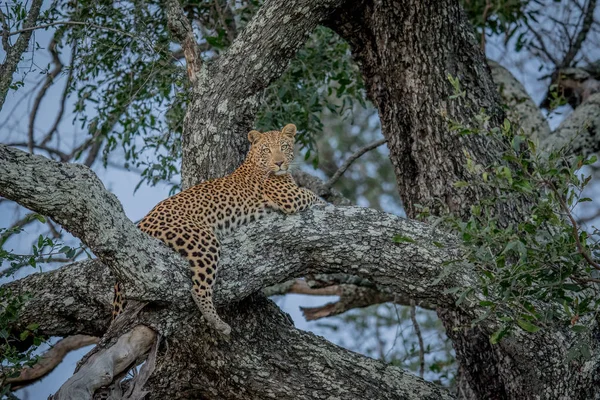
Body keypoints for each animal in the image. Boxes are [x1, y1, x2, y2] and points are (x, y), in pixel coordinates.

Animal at [115, 124, 326, 334]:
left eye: (284, 146)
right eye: (267, 150)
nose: (280, 163)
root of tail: (143, 222)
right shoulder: (290, 197)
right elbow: (312, 195)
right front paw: (325, 202)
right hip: (203, 240)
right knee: (198, 289)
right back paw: (219, 323)